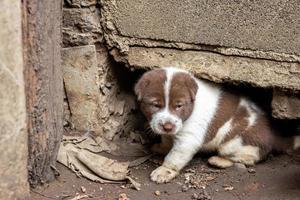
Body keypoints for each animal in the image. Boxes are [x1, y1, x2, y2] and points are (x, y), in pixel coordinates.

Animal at [134, 67, 300, 183]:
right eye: (155, 105)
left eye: (179, 105)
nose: (167, 127)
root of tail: (273, 135)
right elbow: (167, 140)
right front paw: (162, 147)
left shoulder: (188, 139)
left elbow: (174, 156)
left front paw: (164, 171)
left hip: (232, 143)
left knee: (250, 157)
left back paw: (219, 160)